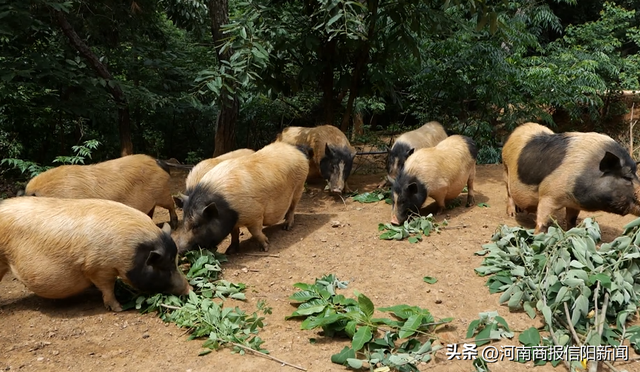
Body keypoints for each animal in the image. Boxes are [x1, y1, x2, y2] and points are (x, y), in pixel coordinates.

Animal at [0, 196, 190, 312]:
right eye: (164, 267)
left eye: (176, 262)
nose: (189, 288)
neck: (129, 250)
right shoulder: (98, 268)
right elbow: (107, 288)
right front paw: (119, 308)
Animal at [170, 142, 310, 253]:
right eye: (184, 221)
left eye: (197, 225)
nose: (180, 250)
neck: (228, 208)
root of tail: (297, 149)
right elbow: (234, 233)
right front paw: (230, 251)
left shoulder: (255, 214)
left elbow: (255, 231)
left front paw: (265, 247)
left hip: (300, 185)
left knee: (293, 206)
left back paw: (287, 227)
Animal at [502, 122, 640, 232]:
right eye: (627, 177)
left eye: (636, 174)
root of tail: (518, 129)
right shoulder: (548, 195)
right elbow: (543, 223)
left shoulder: (573, 203)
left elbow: (571, 220)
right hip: (505, 168)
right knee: (509, 192)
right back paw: (511, 214)